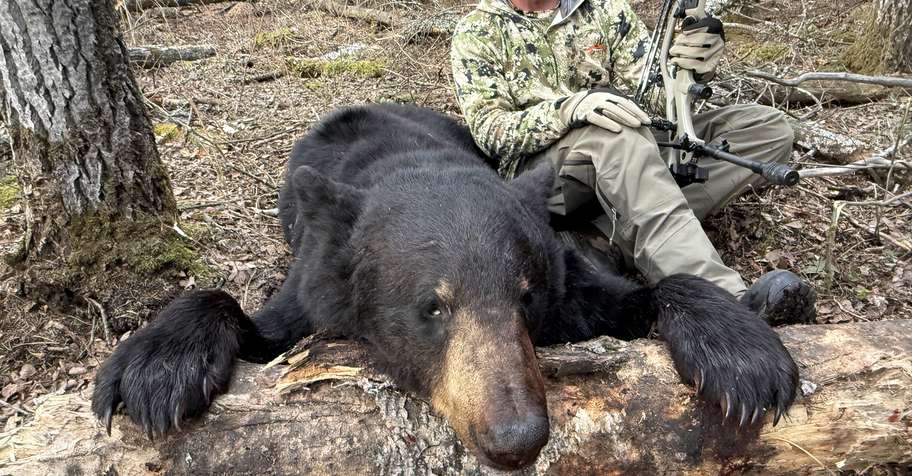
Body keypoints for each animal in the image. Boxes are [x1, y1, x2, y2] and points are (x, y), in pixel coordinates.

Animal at [92, 103, 799, 471]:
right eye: (432, 306)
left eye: (526, 295)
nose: (516, 438)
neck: (414, 164)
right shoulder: (315, 283)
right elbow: (251, 320)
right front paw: (155, 367)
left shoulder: (568, 283)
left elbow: (633, 296)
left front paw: (743, 354)